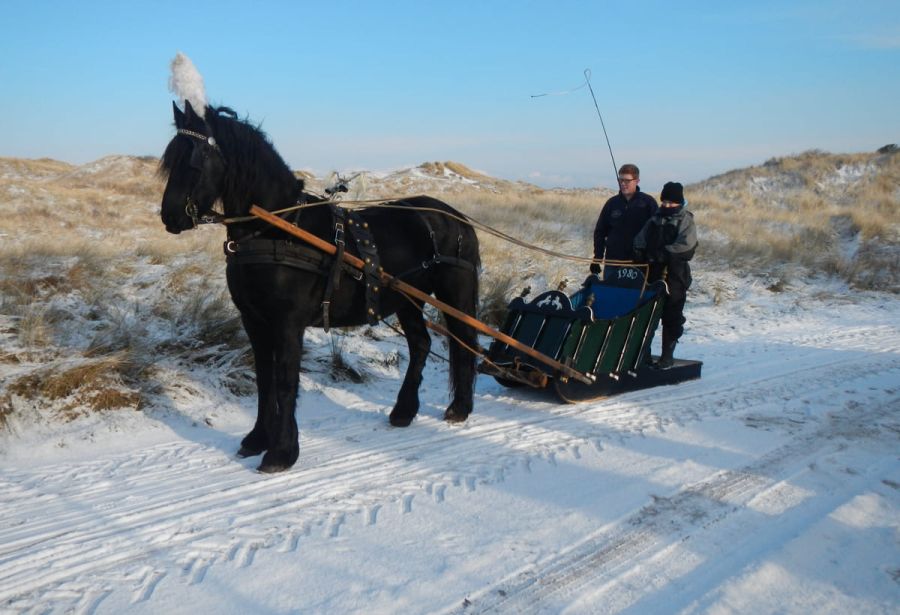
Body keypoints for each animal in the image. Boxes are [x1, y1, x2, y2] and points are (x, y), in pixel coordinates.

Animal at [159, 100, 481, 473]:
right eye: (170, 159)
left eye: (195, 158)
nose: (170, 216)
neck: (279, 229)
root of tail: (458, 218)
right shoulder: (254, 321)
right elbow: (264, 380)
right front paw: (257, 438)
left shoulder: (288, 324)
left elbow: (285, 382)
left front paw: (281, 452)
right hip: (407, 300)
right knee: (421, 344)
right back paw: (403, 411)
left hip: (454, 295)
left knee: (465, 342)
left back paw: (460, 407)